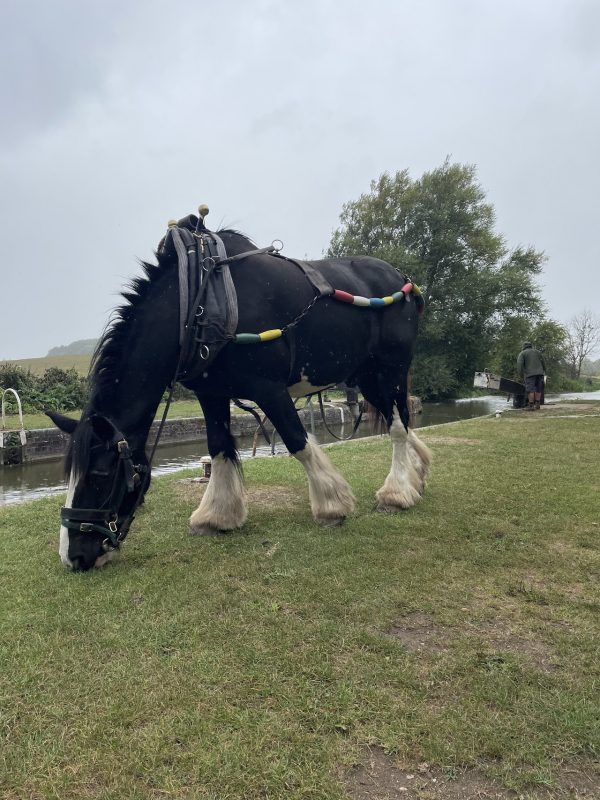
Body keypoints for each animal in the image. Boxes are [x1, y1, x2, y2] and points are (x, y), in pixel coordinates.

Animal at [48, 208, 432, 571]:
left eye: (99, 474)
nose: (72, 557)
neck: (198, 298)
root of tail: (402, 280)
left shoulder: (269, 388)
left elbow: (298, 442)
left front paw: (332, 506)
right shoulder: (211, 393)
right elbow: (218, 447)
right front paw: (215, 516)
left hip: (391, 369)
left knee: (398, 426)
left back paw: (396, 493)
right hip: (368, 376)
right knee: (402, 418)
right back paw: (417, 473)